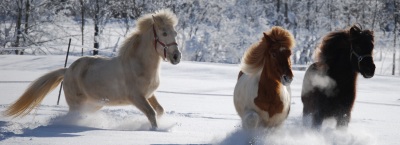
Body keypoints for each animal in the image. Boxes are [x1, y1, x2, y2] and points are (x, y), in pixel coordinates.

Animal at [3, 8, 180, 129]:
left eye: (175, 33)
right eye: (164, 33)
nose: (177, 56)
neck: (138, 65)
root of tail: (67, 70)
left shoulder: (149, 95)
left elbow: (160, 110)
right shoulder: (136, 97)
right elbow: (151, 114)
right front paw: (155, 131)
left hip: (93, 104)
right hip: (77, 104)